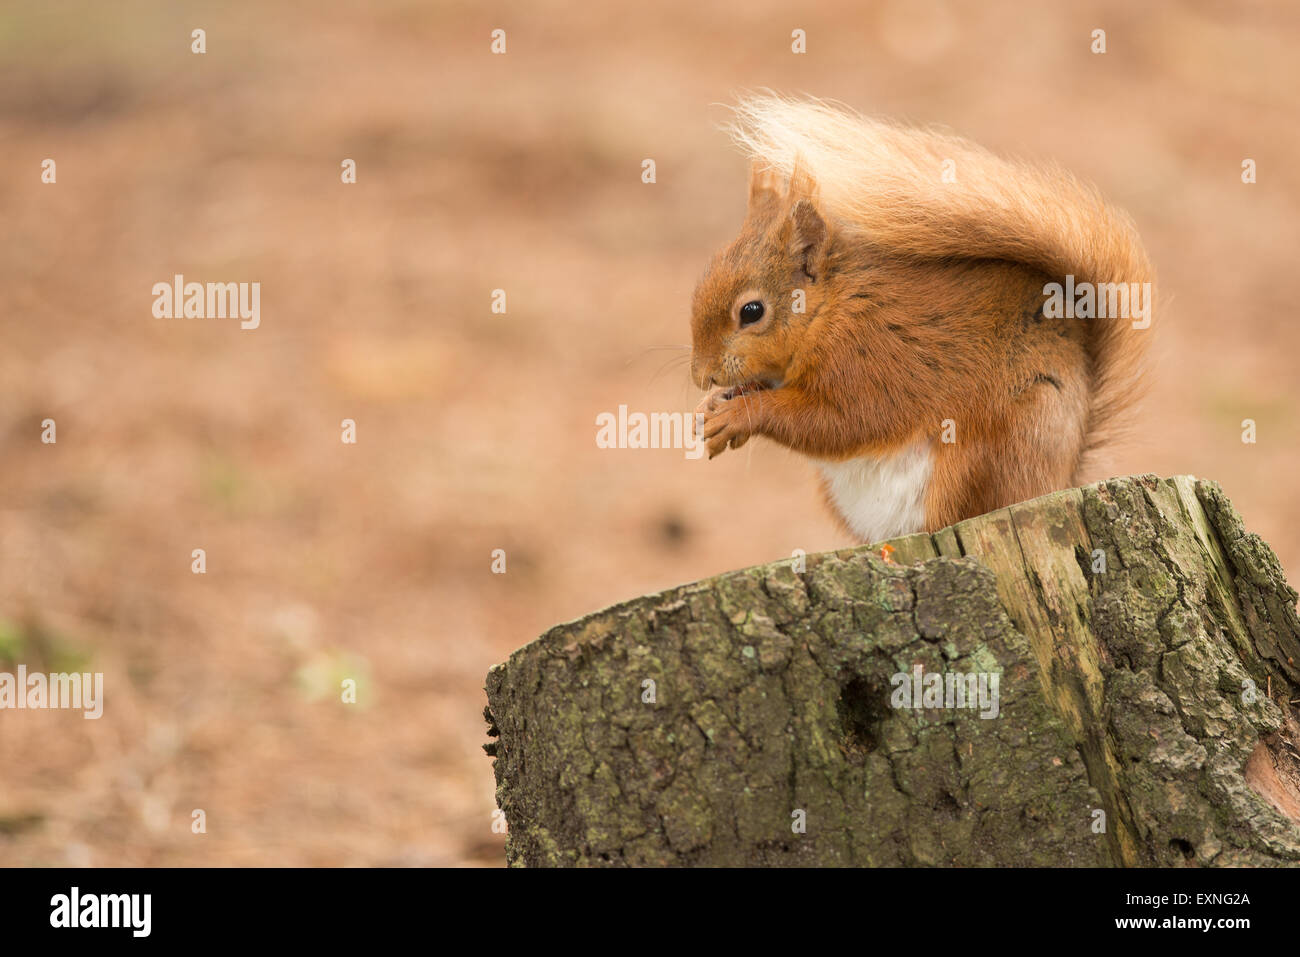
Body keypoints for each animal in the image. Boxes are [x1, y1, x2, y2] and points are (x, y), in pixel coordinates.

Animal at [696, 93, 1154, 540]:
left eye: (751, 311)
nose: (703, 376)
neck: (830, 310)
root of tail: (1064, 477)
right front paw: (714, 404)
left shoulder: (870, 357)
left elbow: (840, 422)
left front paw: (742, 414)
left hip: (990, 453)